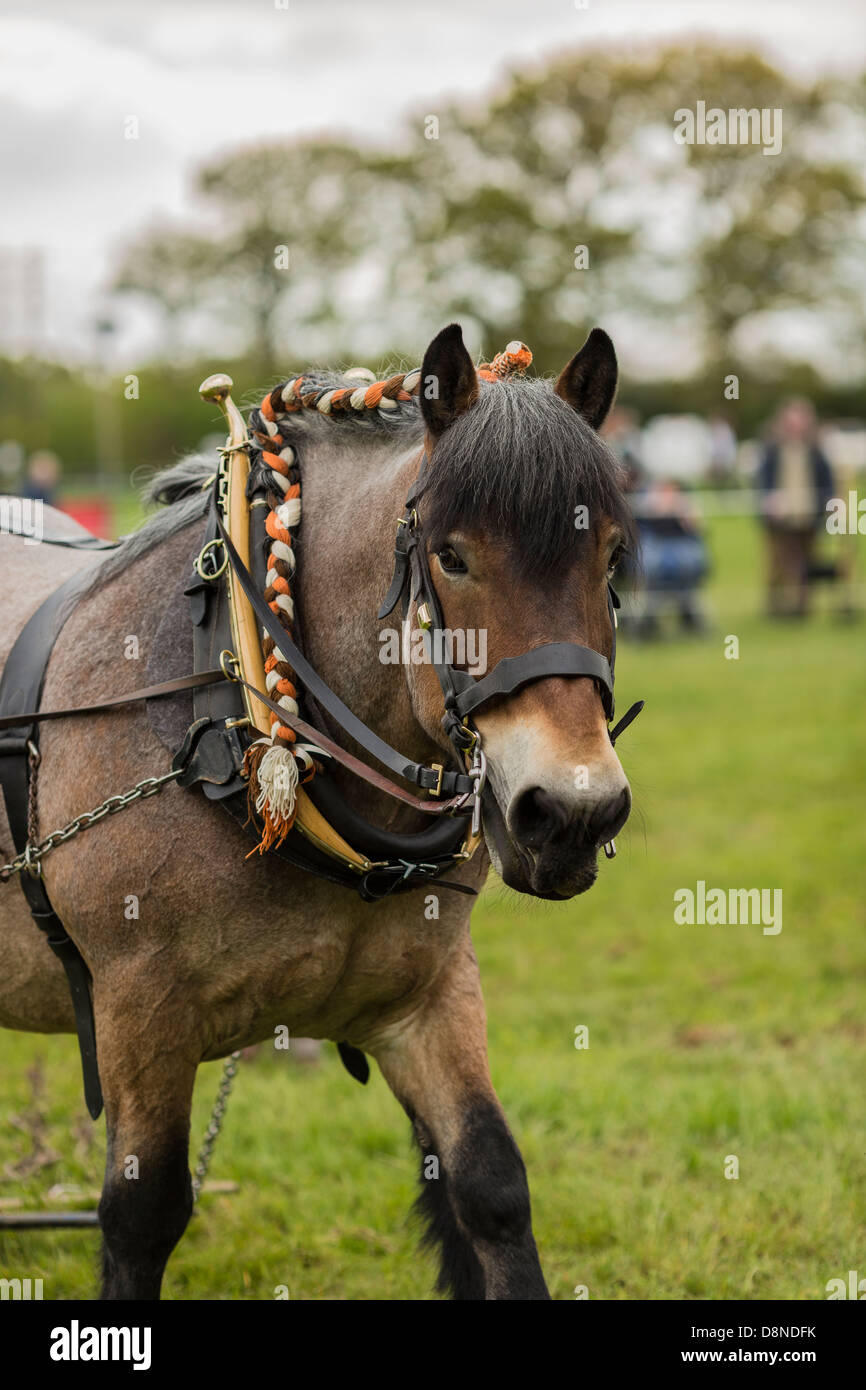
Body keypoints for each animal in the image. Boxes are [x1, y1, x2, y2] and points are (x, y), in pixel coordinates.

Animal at [0, 323, 637, 1300]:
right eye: (452, 555)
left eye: (610, 557)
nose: (571, 812)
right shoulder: (138, 1006)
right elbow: (141, 1216)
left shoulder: (431, 996)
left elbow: (491, 1185)